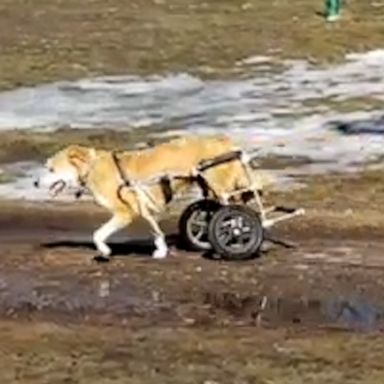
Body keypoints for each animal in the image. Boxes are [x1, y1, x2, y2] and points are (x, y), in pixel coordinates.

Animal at [36, 136, 268, 260]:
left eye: (51, 169)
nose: (35, 183)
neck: (91, 167)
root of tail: (224, 142)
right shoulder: (142, 206)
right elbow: (155, 229)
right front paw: (162, 249)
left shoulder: (124, 212)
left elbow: (98, 234)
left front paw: (104, 250)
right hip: (211, 189)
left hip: (221, 188)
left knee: (237, 217)